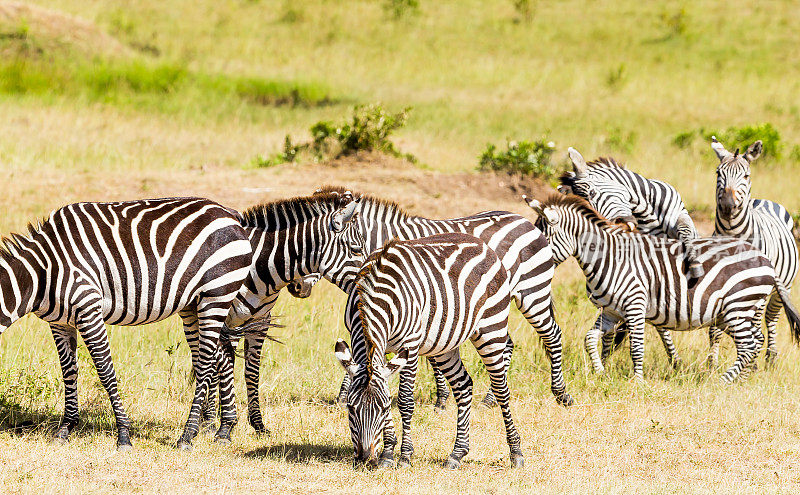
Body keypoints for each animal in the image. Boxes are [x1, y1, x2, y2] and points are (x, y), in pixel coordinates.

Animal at [0, 197, 253, 450]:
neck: (42, 271)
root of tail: (228, 212)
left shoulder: (88, 309)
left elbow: (105, 371)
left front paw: (123, 434)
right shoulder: (60, 323)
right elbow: (69, 372)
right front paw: (65, 429)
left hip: (217, 294)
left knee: (205, 363)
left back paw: (187, 435)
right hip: (193, 305)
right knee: (222, 357)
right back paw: (224, 429)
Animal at [332, 234, 524, 470]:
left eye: (385, 409)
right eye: (350, 408)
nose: (364, 456)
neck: (375, 295)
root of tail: (483, 244)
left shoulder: (410, 345)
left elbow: (405, 400)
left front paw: (404, 456)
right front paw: (388, 452)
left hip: (492, 328)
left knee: (501, 389)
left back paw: (515, 452)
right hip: (444, 346)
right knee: (463, 385)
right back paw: (457, 453)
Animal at [524, 196, 800, 382]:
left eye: (543, 238)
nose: (530, 261)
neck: (609, 258)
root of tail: (765, 259)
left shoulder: (634, 305)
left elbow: (636, 347)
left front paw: (637, 382)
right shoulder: (612, 312)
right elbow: (589, 339)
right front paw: (599, 372)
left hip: (738, 307)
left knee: (747, 346)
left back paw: (722, 381)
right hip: (737, 311)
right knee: (755, 341)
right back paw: (741, 380)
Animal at [708, 137, 796, 368]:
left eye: (746, 175)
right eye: (718, 173)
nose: (727, 206)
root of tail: (764, 200)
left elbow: (754, 325)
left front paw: (752, 363)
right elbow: (715, 329)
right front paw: (711, 364)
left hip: (781, 288)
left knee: (770, 318)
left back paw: (770, 357)